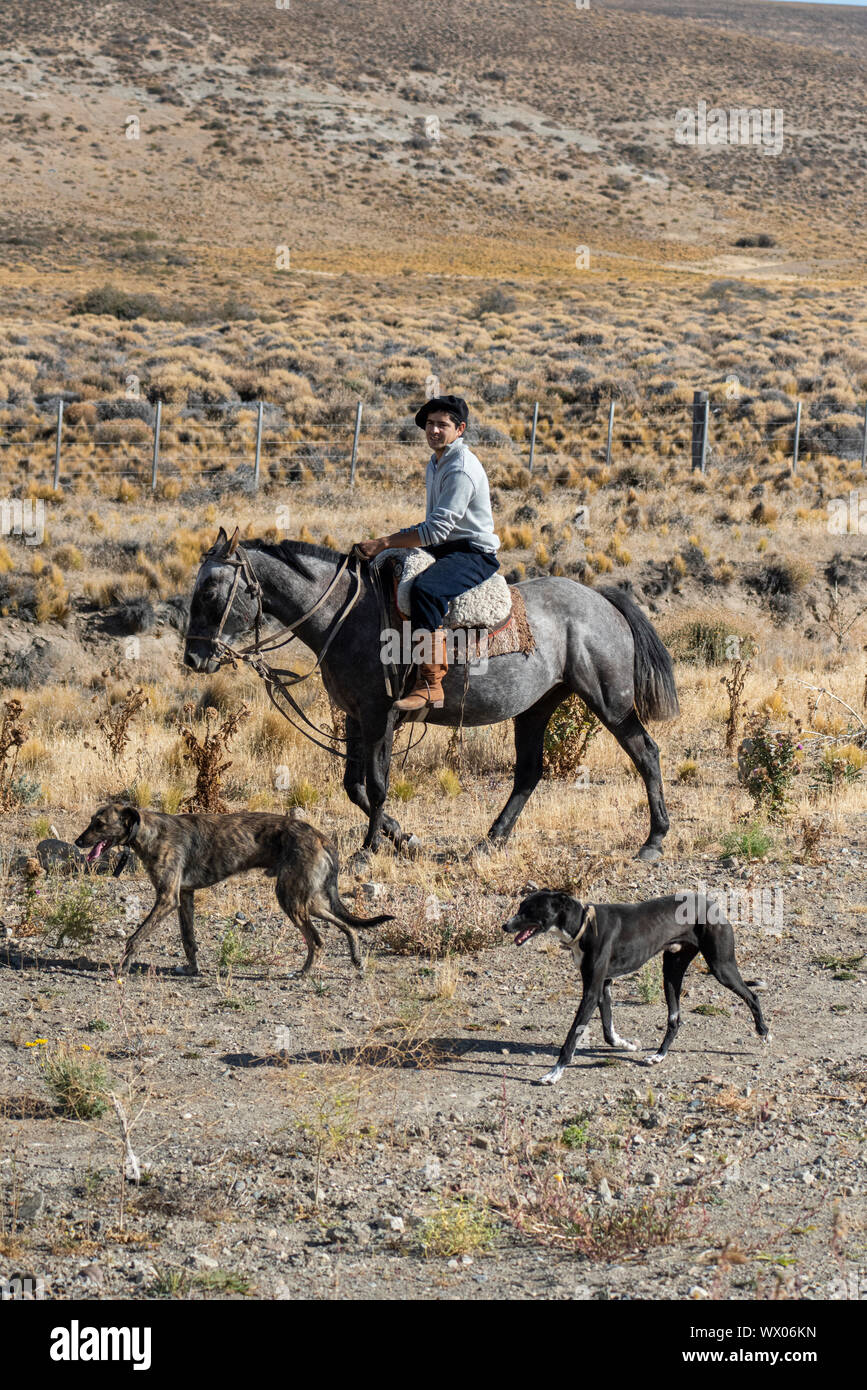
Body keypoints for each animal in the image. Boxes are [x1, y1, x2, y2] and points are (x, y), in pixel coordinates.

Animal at [74, 806, 391, 978]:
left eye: (99, 824)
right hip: (307, 899)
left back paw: (304, 973)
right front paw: (192, 969)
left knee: (317, 939)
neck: (147, 830)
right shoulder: (184, 897)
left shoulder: (166, 899)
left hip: (290, 898)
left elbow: (136, 937)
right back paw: (356, 958)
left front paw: (123, 966)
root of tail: (321, 836)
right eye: (91, 821)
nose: (77, 842)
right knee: (346, 926)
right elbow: (188, 940)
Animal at [186, 528, 680, 856]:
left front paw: (369, 850)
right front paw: (402, 836)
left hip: (610, 702)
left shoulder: (380, 715)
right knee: (528, 772)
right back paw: (491, 840)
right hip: (536, 707)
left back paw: (654, 840)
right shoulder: (355, 716)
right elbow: (354, 786)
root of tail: (601, 599)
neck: (348, 614)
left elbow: (378, 784)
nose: (194, 658)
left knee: (646, 753)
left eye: (210, 590)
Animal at [505, 889, 766, 1084]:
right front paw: (627, 1044)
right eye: (520, 908)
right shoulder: (603, 986)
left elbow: (572, 1037)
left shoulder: (591, 991)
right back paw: (659, 1056)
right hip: (671, 972)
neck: (584, 925)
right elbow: (608, 1032)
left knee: (752, 996)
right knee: (675, 1019)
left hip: (721, 967)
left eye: (529, 910)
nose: (504, 926)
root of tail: (712, 904)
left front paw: (553, 1073)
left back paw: (764, 1032)